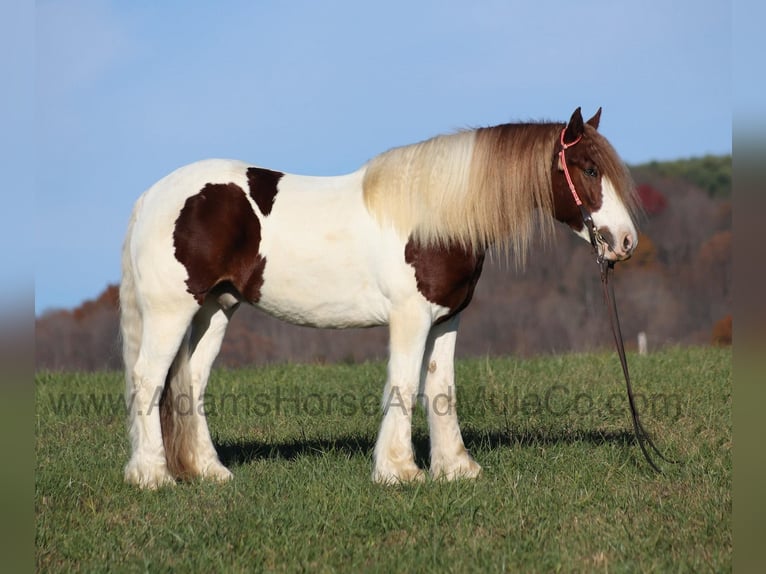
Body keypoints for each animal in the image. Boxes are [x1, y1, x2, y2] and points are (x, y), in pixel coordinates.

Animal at [118, 107, 636, 490]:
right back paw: (152, 476)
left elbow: (440, 387)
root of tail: (151, 197)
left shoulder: (446, 319)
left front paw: (456, 469)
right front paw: (399, 471)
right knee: (148, 379)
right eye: (589, 169)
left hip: (216, 309)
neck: (435, 215)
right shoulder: (410, 317)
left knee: (191, 383)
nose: (626, 242)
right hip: (172, 311)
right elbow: (404, 384)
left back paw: (211, 471)